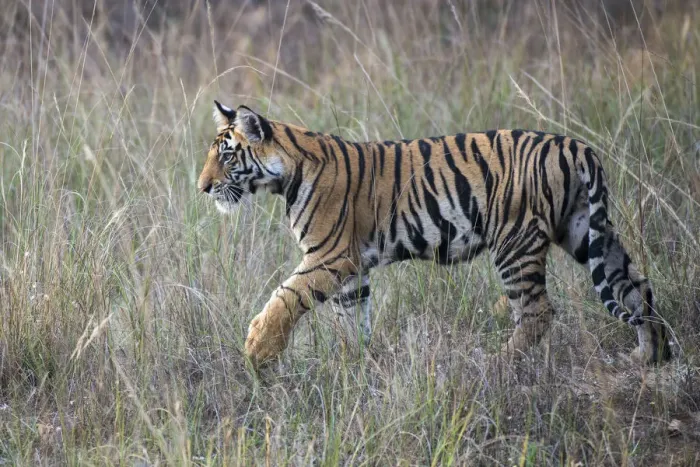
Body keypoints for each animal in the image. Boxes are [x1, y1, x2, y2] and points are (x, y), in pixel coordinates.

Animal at [198, 101, 672, 367]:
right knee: (639, 290)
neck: (285, 174)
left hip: (515, 243)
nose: (201, 188)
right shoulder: (351, 271)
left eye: (227, 155)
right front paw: (353, 368)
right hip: (587, 232)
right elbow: (352, 322)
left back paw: (497, 365)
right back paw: (647, 357)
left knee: (537, 313)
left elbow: (285, 296)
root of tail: (576, 147)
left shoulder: (330, 256)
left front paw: (257, 349)